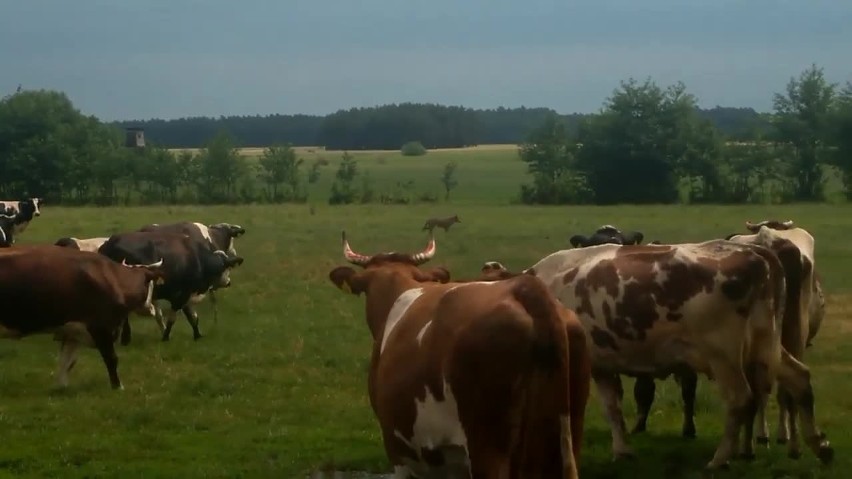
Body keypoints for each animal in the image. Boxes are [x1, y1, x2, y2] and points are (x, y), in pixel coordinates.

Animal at [0, 248, 165, 390]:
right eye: (151, 286)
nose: (152, 308)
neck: (112, 278)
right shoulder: (100, 327)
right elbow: (111, 359)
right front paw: (118, 387)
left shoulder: (72, 331)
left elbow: (67, 362)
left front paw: (62, 387)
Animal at [97, 231, 243, 344]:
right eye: (227, 268)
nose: (228, 282)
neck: (197, 259)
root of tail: (111, 242)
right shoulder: (180, 296)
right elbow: (173, 319)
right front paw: (166, 337)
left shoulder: (185, 295)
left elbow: (192, 317)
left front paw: (197, 335)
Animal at [724, 219, 824, 456]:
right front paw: (781, 434)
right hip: (794, 336)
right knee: (788, 390)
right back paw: (792, 444)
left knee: (757, 390)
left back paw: (747, 444)